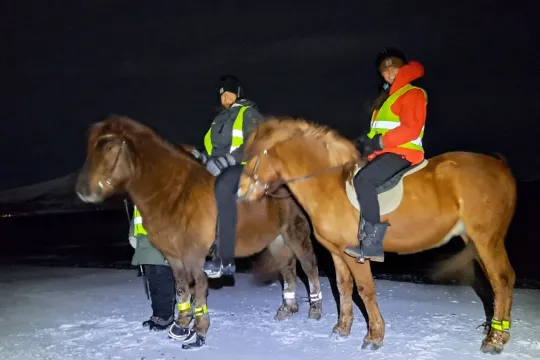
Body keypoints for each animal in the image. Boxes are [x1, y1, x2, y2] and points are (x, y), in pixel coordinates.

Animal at [74, 115, 322, 348]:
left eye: (108, 146)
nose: (82, 190)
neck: (176, 193)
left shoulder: (195, 257)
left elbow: (199, 291)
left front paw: (199, 333)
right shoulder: (174, 258)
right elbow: (182, 290)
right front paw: (180, 326)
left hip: (296, 233)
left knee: (309, 267)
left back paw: (315, 309)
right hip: (277, 239)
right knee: (288, 270)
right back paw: (287, 308)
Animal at [238, 116, 516, 354]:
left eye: (252, 157)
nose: (241, 192)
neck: (329, 185)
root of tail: (500, 165)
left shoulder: (356, 254)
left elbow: (365, 289)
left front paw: (374, 336)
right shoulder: (336, 252)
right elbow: (343, 287)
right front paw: (342, 329)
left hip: (486, 239)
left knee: (501, 281)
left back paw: (494, 341)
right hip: (475, 240)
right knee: (503, 279)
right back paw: (499, 335)